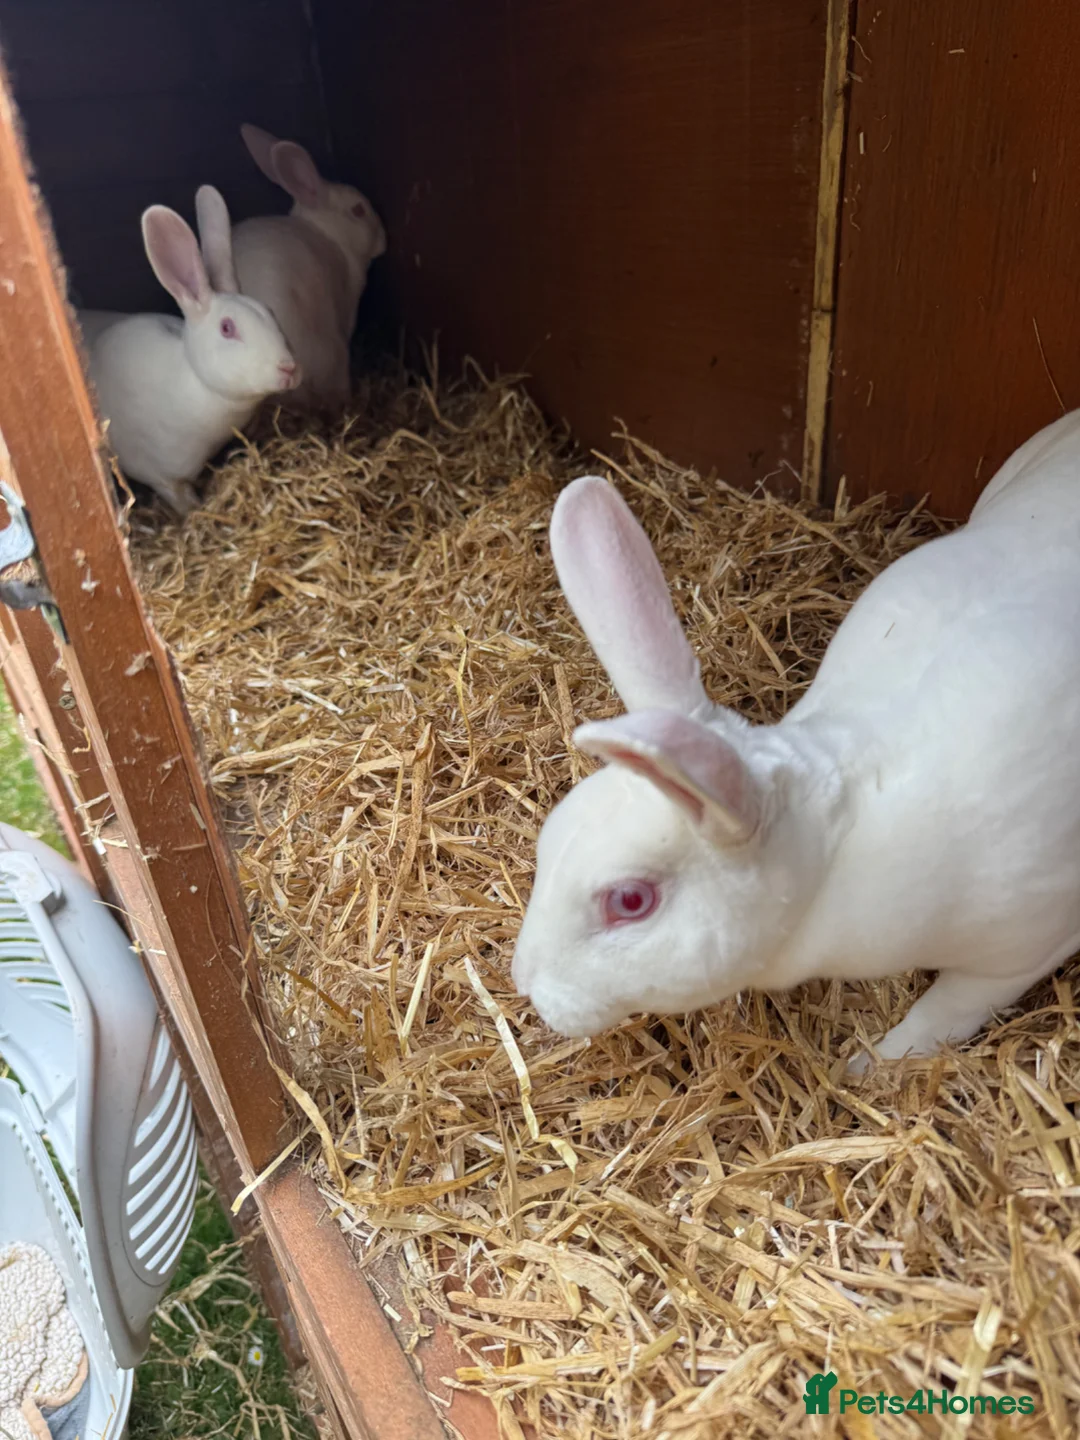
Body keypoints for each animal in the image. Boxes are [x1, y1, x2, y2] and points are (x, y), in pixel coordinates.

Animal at [80, 188, 300, 515]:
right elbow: (183, 502)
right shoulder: (163, 477)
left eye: (270, 311)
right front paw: (197, 511)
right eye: (227, 328)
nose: (289, 369)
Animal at [511, 422, 1080, 1065]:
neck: (831, 862)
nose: (523, 981)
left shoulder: (1019, 950)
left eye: (630, 901)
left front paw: (869, 1066)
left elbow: (945, 1013)